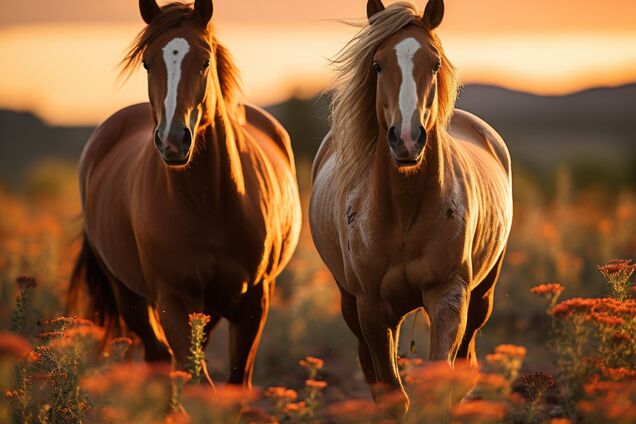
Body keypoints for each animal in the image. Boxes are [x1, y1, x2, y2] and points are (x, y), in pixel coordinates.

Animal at [68, 0, 302, 386]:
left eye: (205, 60)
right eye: (147, 62)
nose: (173, 140)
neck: (211, 205)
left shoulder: (254, 301)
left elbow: (236, 381)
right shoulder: (173, 301)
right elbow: (196, 378)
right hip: (130, 297)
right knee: (158, 358)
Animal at [308, 0, 512, 414]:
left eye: (434, 63)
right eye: (377, 64)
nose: (406, 138)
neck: (404, 213)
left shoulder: (449, 296)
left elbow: (440, 381)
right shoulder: (371, 307)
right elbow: (391, 393)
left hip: (482, 295)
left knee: (466, 360)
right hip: (350, 302)